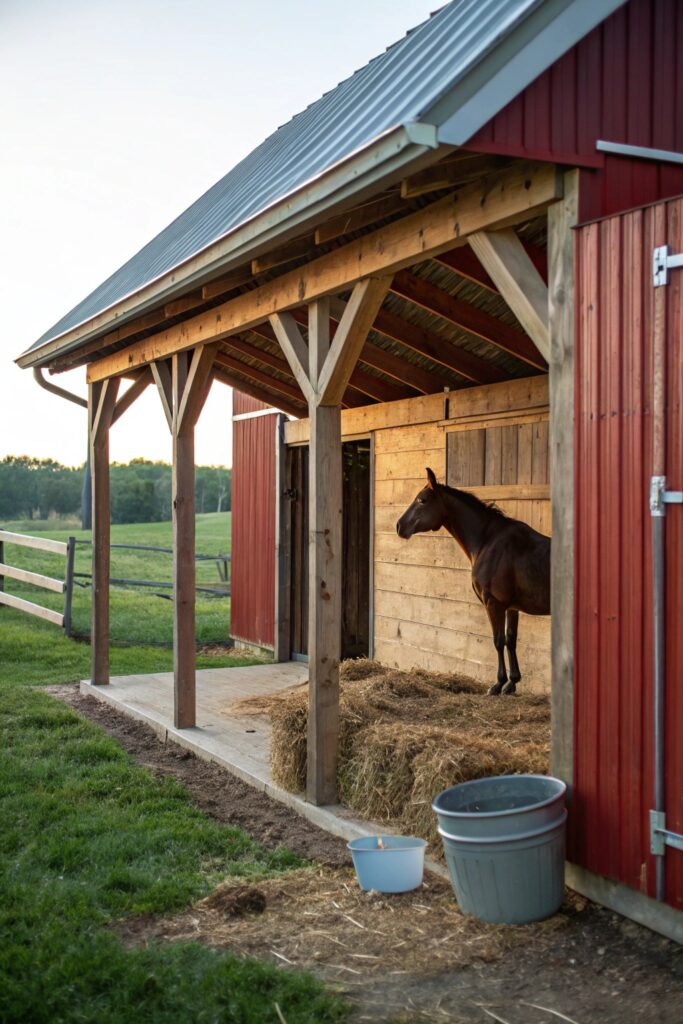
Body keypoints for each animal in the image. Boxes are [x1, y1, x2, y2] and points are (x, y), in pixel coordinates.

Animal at [396, 468, 550, 695]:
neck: (488, 542)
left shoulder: (493, 603)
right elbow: (511, 640)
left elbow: (498, 641)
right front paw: (512, 682)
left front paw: (498, 684)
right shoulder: (512, 607)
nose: (399, 526)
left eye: (422, 500)